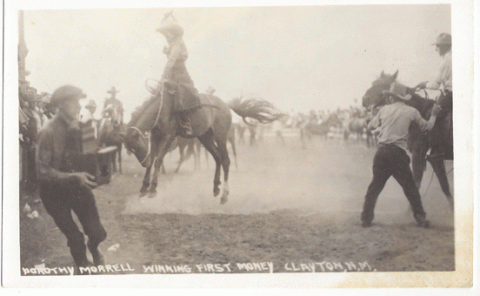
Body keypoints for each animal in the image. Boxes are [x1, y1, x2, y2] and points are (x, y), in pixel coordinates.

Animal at [364, 71, 454, 210]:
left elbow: (416, 184)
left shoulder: (423, 155)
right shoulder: (431, 158)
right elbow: (443, 186)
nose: (364, 100)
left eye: (380, 84)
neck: (421, 112)